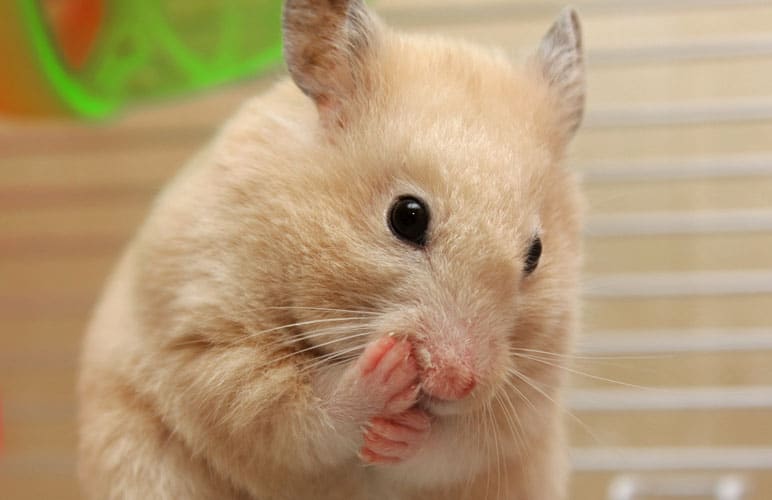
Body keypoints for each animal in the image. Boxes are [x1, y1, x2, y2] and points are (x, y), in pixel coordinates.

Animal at [78, 1, 584, 498]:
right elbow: (301, 412)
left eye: (536, 253)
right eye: (407, 216)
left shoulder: (526, 402)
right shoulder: (213, 347)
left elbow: (451, 445)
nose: (456, 381)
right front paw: (386, 372)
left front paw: (404, 433)